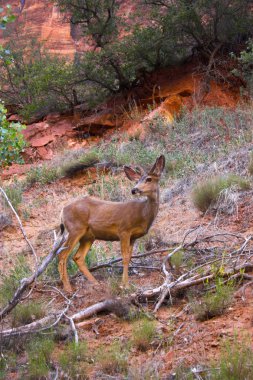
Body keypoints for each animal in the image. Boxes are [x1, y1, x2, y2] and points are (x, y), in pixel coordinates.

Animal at [56, 153, 166, 292]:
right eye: (137, 181)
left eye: (149, 179)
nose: (134, 190)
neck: (142, 214)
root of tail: (62, 211)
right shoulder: (123, 230)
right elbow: (124, 257)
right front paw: (125, 285)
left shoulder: (133, 237)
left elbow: (129, 257)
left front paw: (124, 283)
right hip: (75, 229)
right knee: (62, 255)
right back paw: (68, 288)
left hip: (88, 236)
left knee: (78, 257)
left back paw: (95, 283)